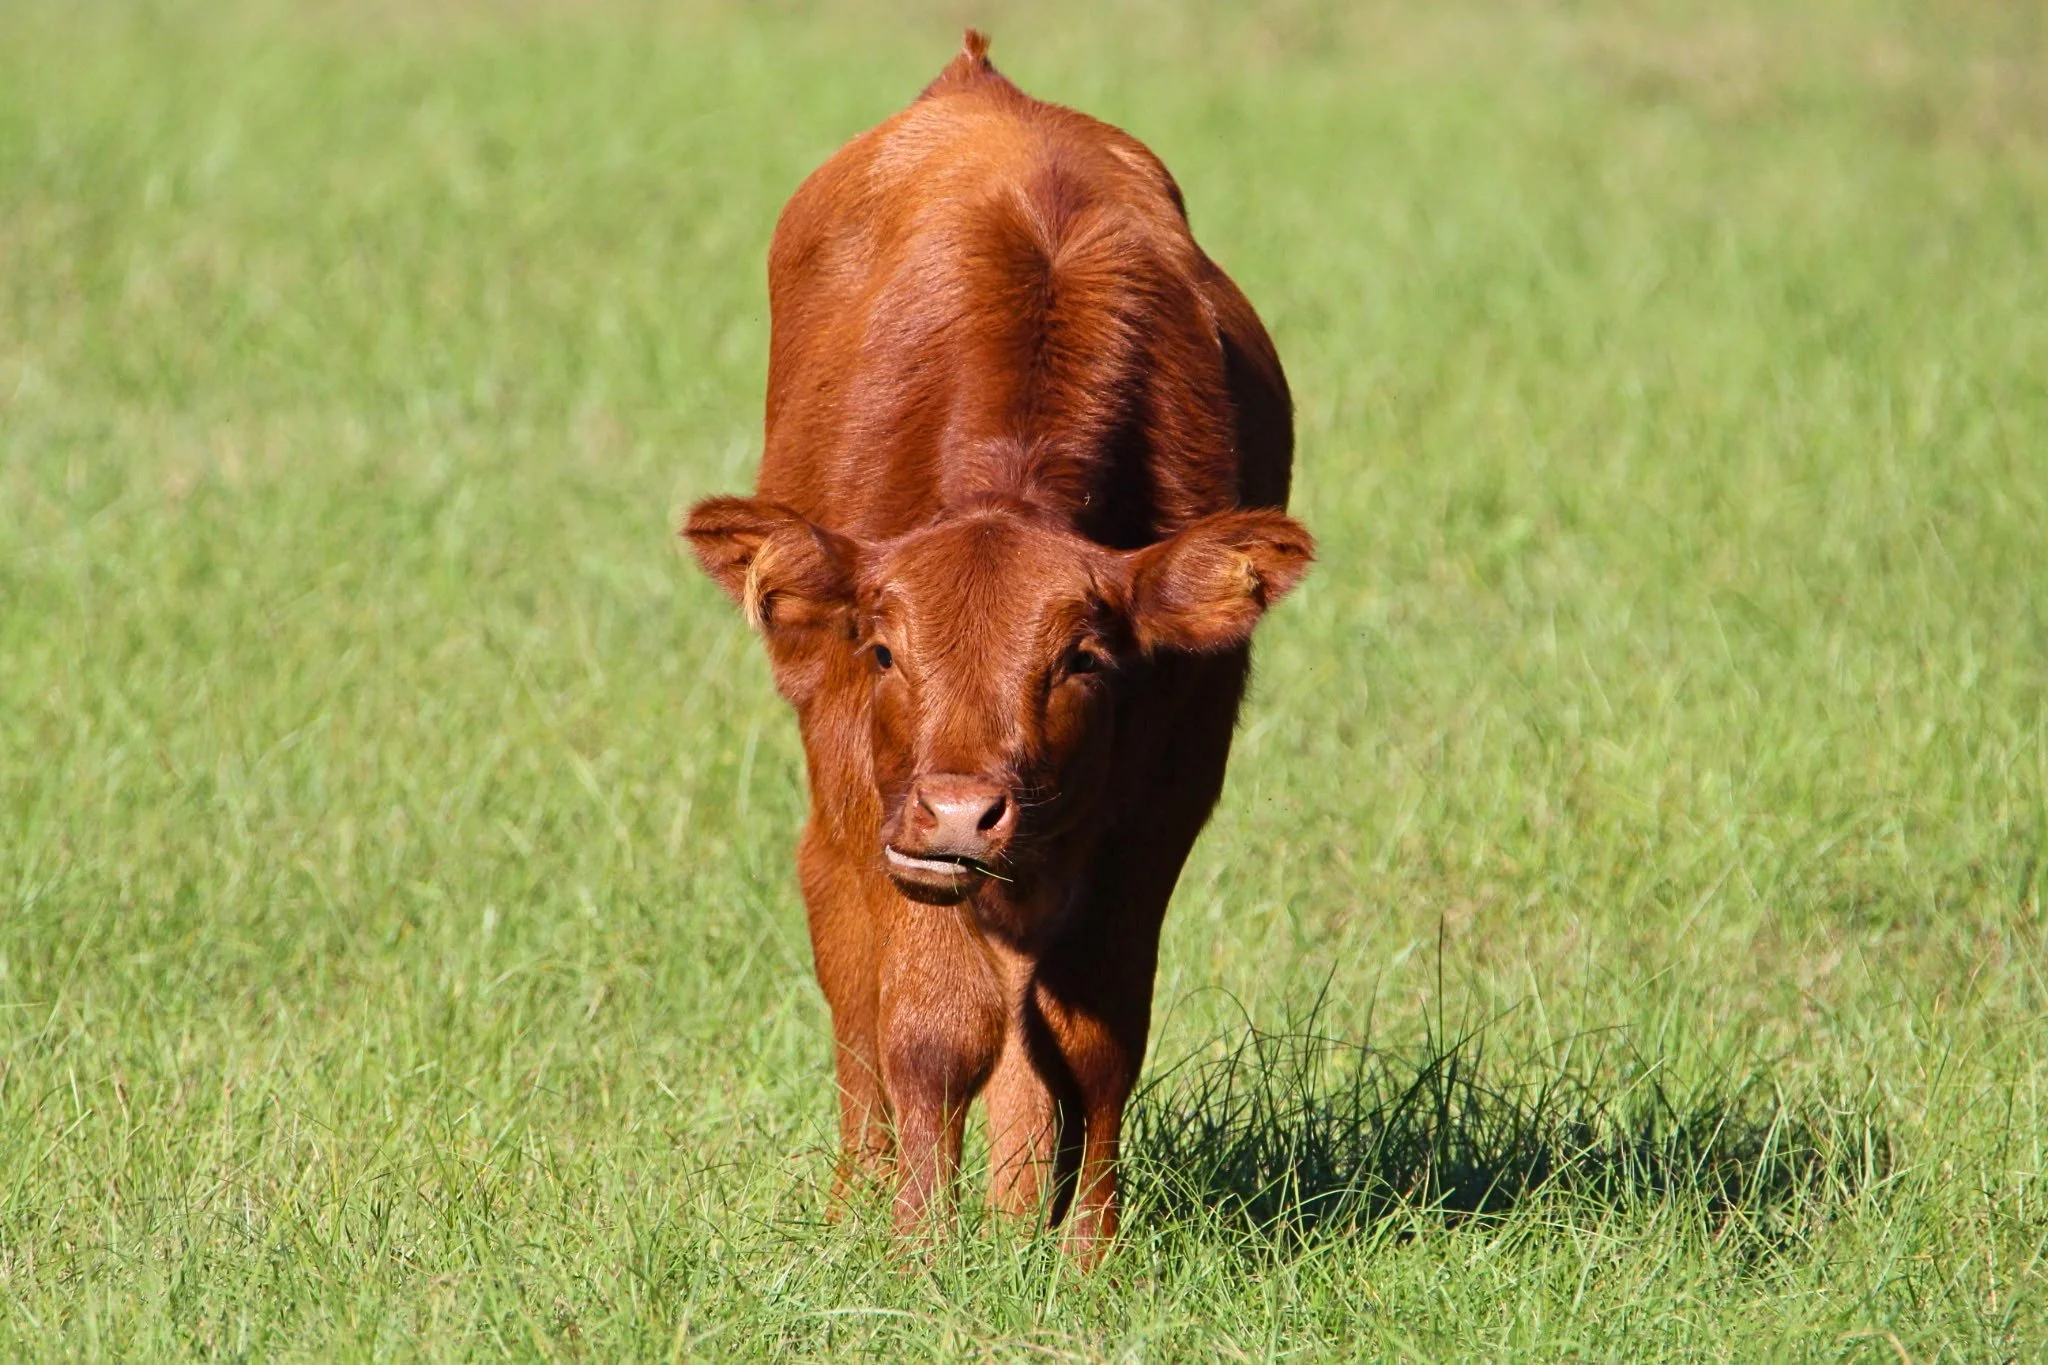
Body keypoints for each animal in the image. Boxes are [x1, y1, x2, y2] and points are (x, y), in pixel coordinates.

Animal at [683, 31, 1312, 1260]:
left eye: (1084, 658)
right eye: (883, 650)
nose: (962, 812)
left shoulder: (1160, 800)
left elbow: (1097, 1036)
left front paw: (1080, 1256)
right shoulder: (883, 810)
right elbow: (924, 1029)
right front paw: (920, 1251)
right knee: (857, 992)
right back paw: (864, 1198)